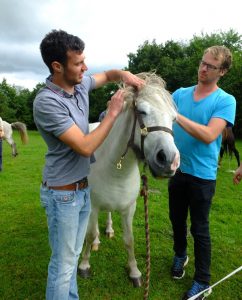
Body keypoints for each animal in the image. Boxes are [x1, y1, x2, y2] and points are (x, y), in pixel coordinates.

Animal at [79, 72, 180, 286]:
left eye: (174, 118)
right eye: (141, 111)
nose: (169, 160)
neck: (116, 171)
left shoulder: (129, 209)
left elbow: (129, 240)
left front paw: (134, 272)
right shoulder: (93, 206)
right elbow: (90, 235)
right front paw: (84, 265)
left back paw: (109, 230)